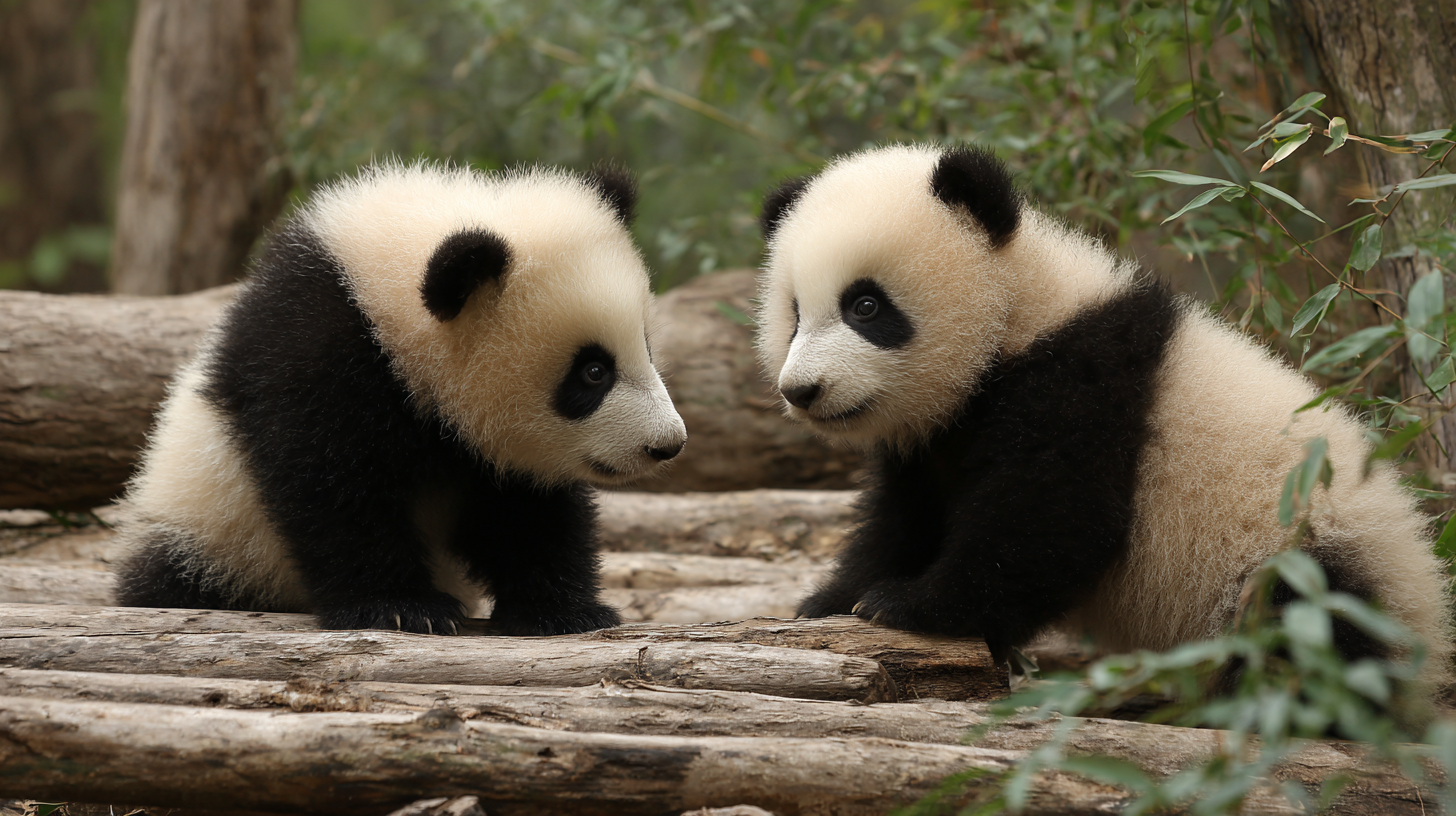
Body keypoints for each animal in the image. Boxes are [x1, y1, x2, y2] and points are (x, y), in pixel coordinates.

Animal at [115, 161, 687, 637]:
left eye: (646, 348)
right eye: (592, 373)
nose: (667, 445)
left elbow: (526, 509)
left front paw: (559, 610)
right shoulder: (317, 355)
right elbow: (333, 484)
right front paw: (400, 607)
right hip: (212, 527)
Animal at [757, 143, 1452, 711]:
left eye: (865, 305)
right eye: (794, 315)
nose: (803, 391)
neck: (1016, 309)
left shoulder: (1084, 381)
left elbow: (1053, 523)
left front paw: (907, 606)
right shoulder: (933, 440)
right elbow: (907, 522)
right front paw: (831, 603)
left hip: (1308, 550)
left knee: (1305, 640)